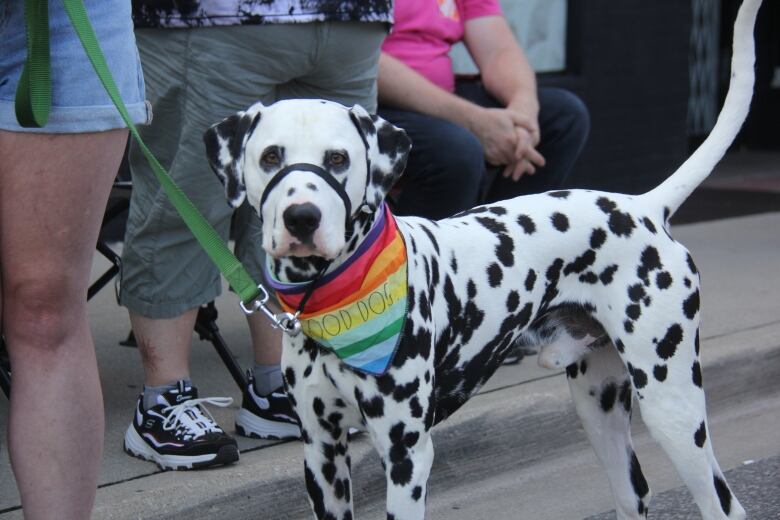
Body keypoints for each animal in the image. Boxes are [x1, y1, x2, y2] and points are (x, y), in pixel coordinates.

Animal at [206, 2, 760, 516]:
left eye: (338, 158)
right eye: (271, 157)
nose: (302, 217)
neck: (332, 295)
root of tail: (643, 206)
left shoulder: (407, 454)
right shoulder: (322, 454)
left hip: (672, 407)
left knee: (723, 503)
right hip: (600, 409)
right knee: (633, 496)